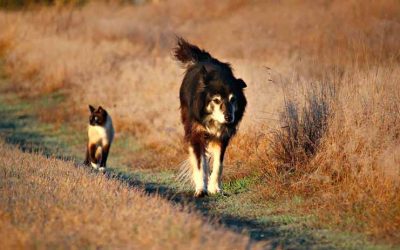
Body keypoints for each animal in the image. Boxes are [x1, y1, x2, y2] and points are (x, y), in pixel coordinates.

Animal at [174, 37, 247, 197]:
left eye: (233, 99)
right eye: (216, 100)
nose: (229, 117)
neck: (212, 120)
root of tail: (202, 58)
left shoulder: (222, 137)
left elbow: (218, 164)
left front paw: (215, 189)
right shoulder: (196, 133)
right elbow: (199, 163)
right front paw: (201, 189)